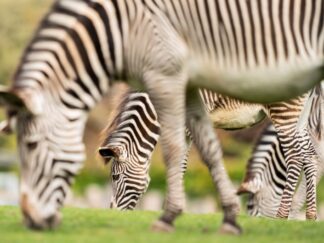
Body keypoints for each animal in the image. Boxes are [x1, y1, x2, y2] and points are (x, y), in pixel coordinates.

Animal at [0, 0, 322, 234]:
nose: (113, 215)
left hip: (282, 107)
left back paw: (284, 215)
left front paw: (173, 209)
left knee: (297, 154)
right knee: (309, 154)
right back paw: (307, 214)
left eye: (115, 176)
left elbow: (180, 161)